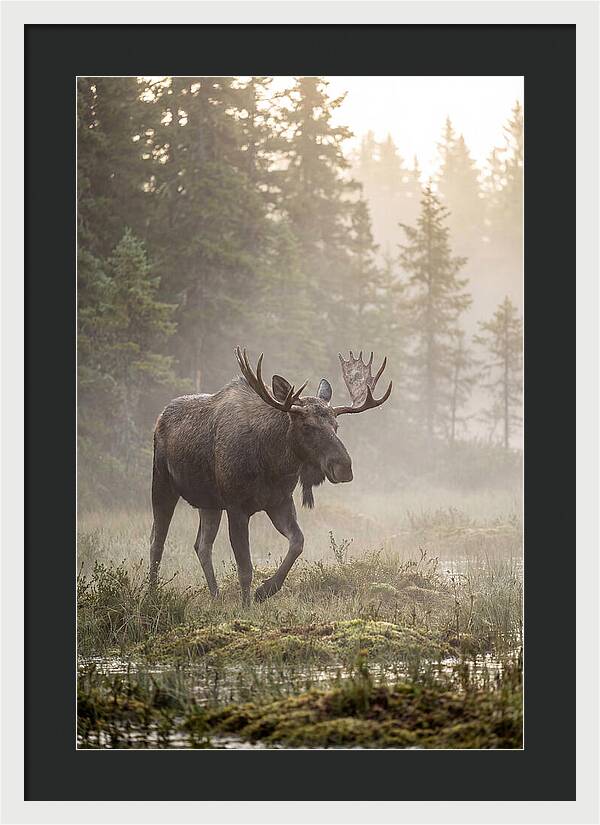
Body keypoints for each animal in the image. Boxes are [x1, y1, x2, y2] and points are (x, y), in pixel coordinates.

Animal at [150, 348, 392, 604]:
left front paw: (265, 590)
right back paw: (152, 593)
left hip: (209, 502)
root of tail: (160, 417)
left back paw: (215, 596)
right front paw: (246, 606)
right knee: (157, 540)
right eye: (307, 426)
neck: (272, 464)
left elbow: (298, 542)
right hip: (162, 483)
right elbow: (245, 568)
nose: (344, 467)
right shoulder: (236, 507)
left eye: (336, 426)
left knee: (202, 545)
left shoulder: (279, 501)